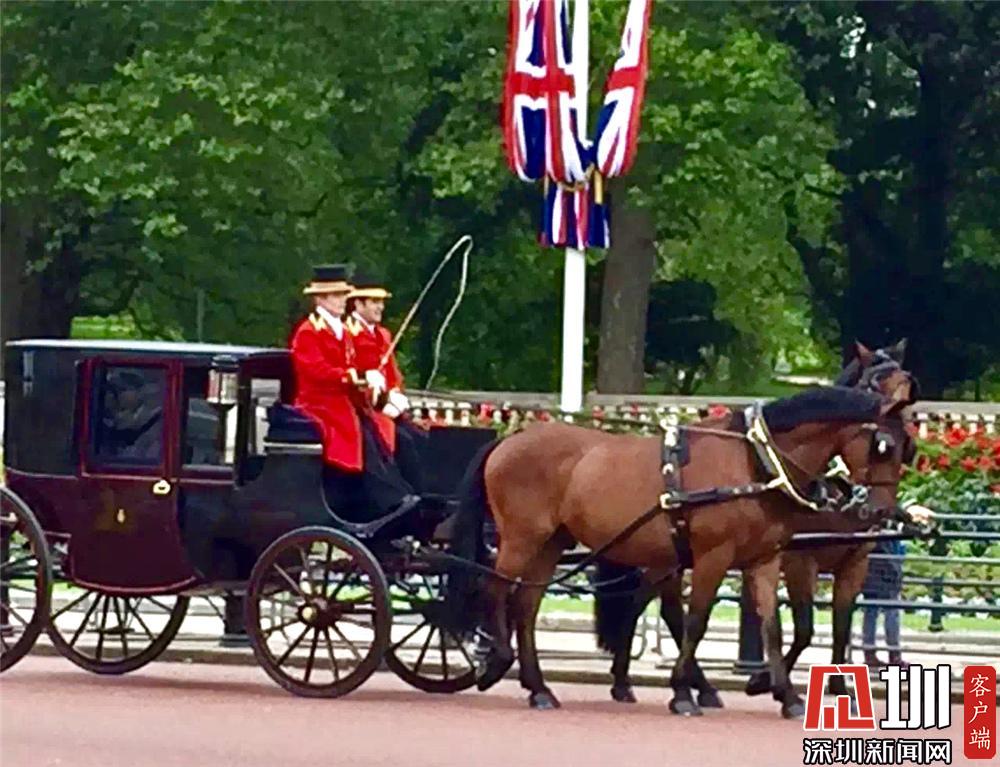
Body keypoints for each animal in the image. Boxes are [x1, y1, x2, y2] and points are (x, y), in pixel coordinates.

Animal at [445, 385, 916, 717]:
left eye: (906, 450)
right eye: (884, 446)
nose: (880, 511)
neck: (755, 460)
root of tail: (509, 440)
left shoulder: (764, 560)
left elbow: (774, 629)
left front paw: (786, 694)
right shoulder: (715, 556)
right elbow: (696, 621)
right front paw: (683, 692)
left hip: (553, 543)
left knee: (526, 605)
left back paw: (539, 687)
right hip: (522, 537)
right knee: (496, 590)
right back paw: (497, 663)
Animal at [594, 341, 919, 706]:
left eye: (909, 386)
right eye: (875, 384)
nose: (881, 508)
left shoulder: (854, 564)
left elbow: (839, 627)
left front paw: (837, 688)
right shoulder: (798, 560)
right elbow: (804, 628)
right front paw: (764, 681)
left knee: (645, 601)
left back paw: (654, 682)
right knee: (666, 609)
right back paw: (674, 684)